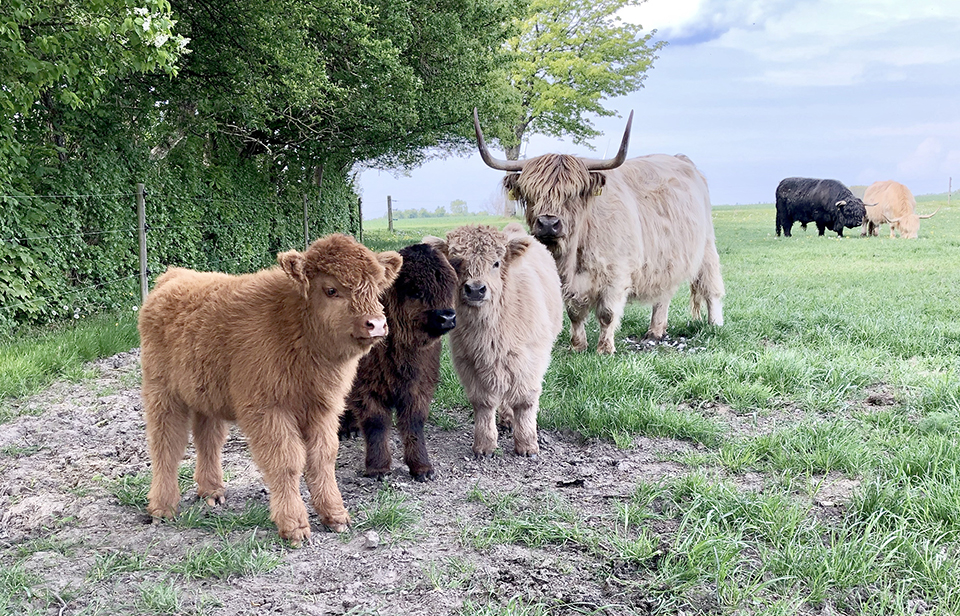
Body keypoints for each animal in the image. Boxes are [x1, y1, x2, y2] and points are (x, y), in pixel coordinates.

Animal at [138, 234, 402, 545]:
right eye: (331, 289)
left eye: (376, 289)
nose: (376, 324)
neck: (293, 325)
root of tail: (172, 276)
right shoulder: (268, 410)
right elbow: (286, 461)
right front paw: (294, 526)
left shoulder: (324, 409)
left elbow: (323, 457)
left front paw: (336, 516)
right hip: (162, 392)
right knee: (166, 445)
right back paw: (162, 508)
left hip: (206, 395)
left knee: (208, 440)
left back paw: (212, 491)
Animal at [340, 243, 457, 481]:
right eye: (415, 290)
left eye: (450, 286)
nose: (447, 317)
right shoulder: (367, 388)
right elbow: (376, 423)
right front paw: (378, 468)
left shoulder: (419, 387)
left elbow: (413, 423)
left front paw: (422, 468)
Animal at [424, 223, 563, 458]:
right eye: (455, 262)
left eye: (496, 263)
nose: (475, 289)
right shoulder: (468, 361)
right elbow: (483, 403)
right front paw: (484, 445)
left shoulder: (531, 359)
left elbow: (525, 401)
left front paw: (527, 445)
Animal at [473, 109, 724, 354]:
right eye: (530, 193)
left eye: (573, 194)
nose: (548, 224)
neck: (575, 253)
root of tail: (683, 160)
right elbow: (574, 313)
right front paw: (578, 346)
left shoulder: (616, 274)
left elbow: (607, 314)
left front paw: (605, 349)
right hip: (666, 258)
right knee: (664, 293)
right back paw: (656, 331)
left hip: (706, 247)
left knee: (711, 286)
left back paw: (715, 325)